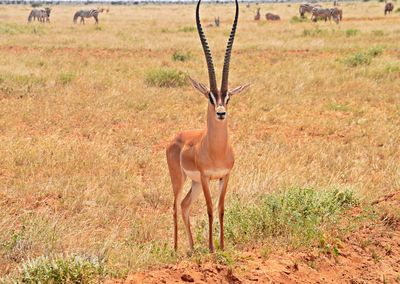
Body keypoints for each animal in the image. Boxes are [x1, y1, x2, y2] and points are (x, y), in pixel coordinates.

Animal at [165, 0, 247, 252]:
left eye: (228, 97)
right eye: (210, 97)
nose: (221, 113)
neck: (216, 150)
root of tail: (176, 138)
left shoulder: (224, 176)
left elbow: (220, 210)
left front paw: (222, 246)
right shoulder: (205, 177)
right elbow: (210, 210)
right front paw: (211, 248)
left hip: (193, 184)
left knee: (184, 205)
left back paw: (191, 248)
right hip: (180, 179)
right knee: (175, 206)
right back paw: (175, 248)